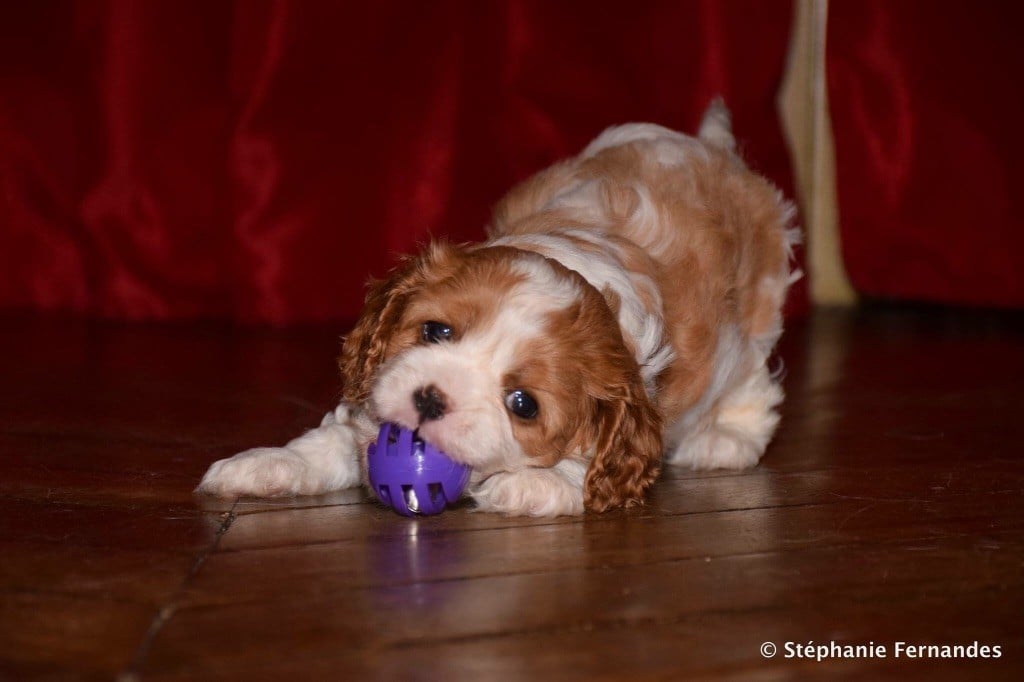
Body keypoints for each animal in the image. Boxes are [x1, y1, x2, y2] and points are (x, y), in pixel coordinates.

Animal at [195, 100, 794, 516]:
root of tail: (710, 148)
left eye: (522, 404)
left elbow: (586, 468)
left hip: (758, 306)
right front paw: (267, 465)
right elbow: (330, 441)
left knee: (754, 379)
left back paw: (727, 440)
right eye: (435, 332)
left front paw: (533, 483)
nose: (431, 398)